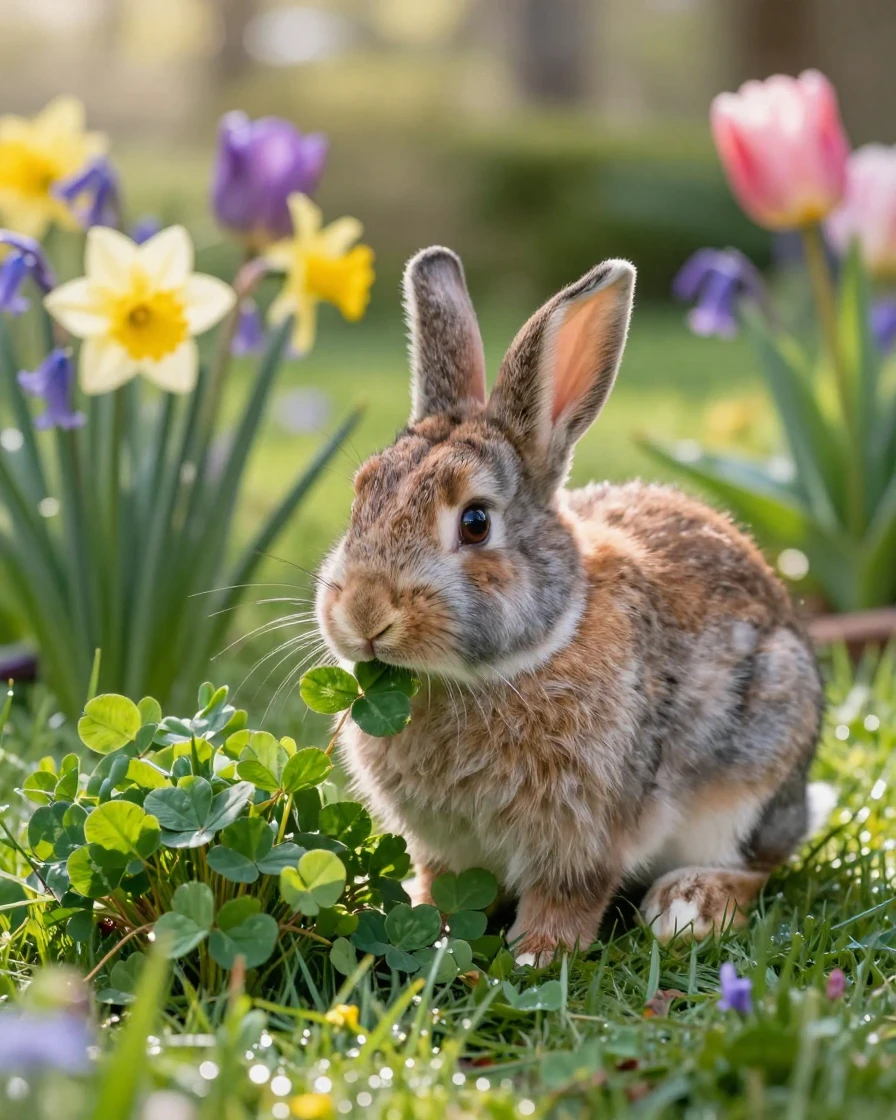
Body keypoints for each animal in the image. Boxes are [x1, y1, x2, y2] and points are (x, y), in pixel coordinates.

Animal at [315, 246, 828, 963]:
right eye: (362, 495)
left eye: (475, 522)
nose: (364, 614)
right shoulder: (443, 846)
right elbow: (442, 885)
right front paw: (425, 923)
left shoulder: (589, 831)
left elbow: (571, 893)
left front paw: (538, 953)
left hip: (756, 765)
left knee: (757, 865)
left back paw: (688, 906)